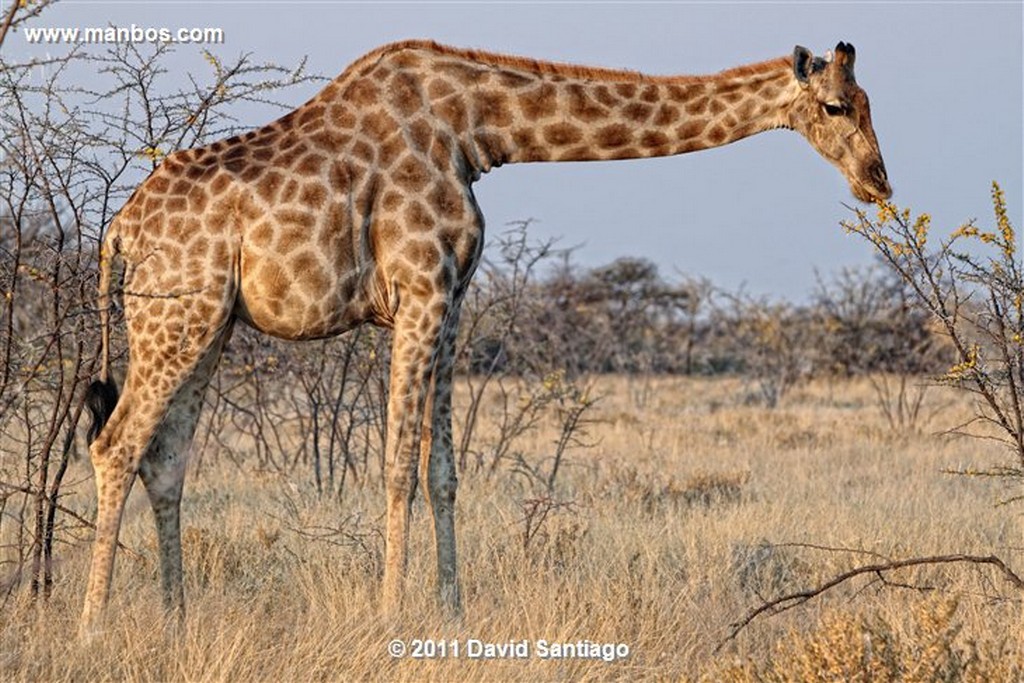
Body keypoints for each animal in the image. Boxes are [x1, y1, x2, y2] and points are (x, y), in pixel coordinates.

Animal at [79, 38, 888, 634]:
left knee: (166, 457)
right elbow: (398, 464)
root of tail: (119, 231)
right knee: (115, 443)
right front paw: (390, 616)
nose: (879, 181)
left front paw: (452, 612)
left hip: (206, 322)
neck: (476, 129)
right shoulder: (419, 292)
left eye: (869, 103)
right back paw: (94, 625)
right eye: (835, 105)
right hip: (171, 317)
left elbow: (443, 470)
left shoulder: (453, 300)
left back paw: (176, 619)